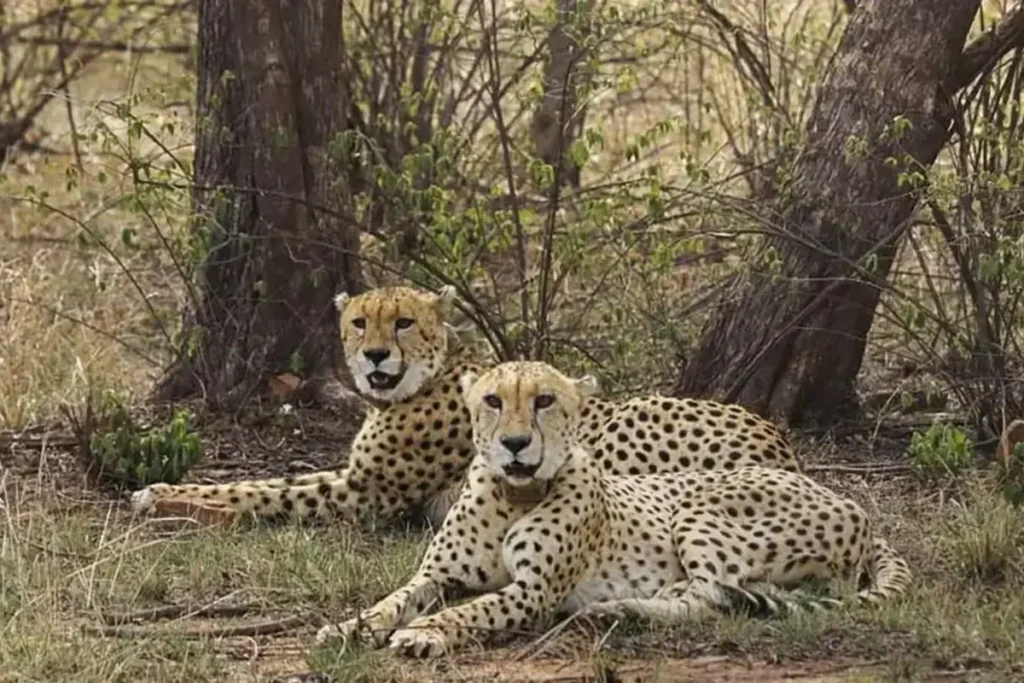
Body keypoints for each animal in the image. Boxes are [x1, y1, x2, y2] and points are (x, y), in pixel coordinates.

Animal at [131, 285, 801, 530]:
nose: (374, 356)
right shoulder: (355, 478)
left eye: (402, 322)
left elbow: (261, 492)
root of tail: (778, 441)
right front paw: (162, 489)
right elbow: (268, 480)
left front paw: (166, 499)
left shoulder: (366, 495)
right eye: (359, 322)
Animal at [315, 360, 911, 658]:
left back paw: (620, 608)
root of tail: (850, 503)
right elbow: (392, 600)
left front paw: (424, 633)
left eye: (545, 400)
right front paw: (349, 627)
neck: (513, 495)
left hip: (697, 510)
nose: (514, 444)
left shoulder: (533, 592)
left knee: (712, 597)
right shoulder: (437, 575)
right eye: (492, 401)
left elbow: (470, 611)